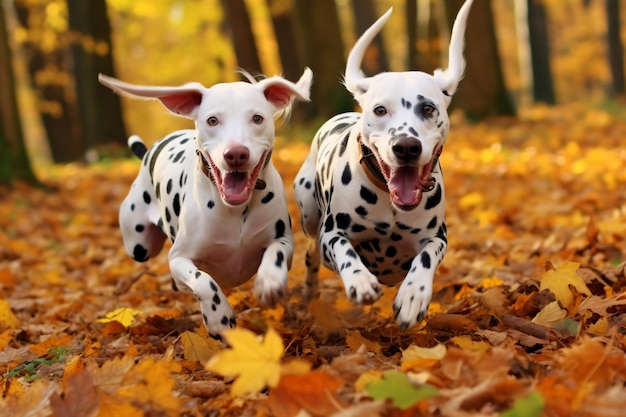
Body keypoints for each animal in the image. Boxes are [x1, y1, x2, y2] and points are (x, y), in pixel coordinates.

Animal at [98, 69, 310, 338]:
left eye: (257, 118)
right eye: (212, 120)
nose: (236, 154)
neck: (234, 210)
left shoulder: (284, 240)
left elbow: (276, 253)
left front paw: (269, 282)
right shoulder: (178, 259)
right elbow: (203, 280)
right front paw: (219, 317)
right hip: (139, 246)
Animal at [294, 0, 470, 332]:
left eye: (428, 108)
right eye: (380, 110)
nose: (406, 147)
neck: (390, 203)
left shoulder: (438, 238)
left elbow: (427, 256)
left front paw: (414, 295)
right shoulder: (331, 234)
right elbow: (344, 250)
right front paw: (360, 280)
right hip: (309, 214)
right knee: (310, 254)